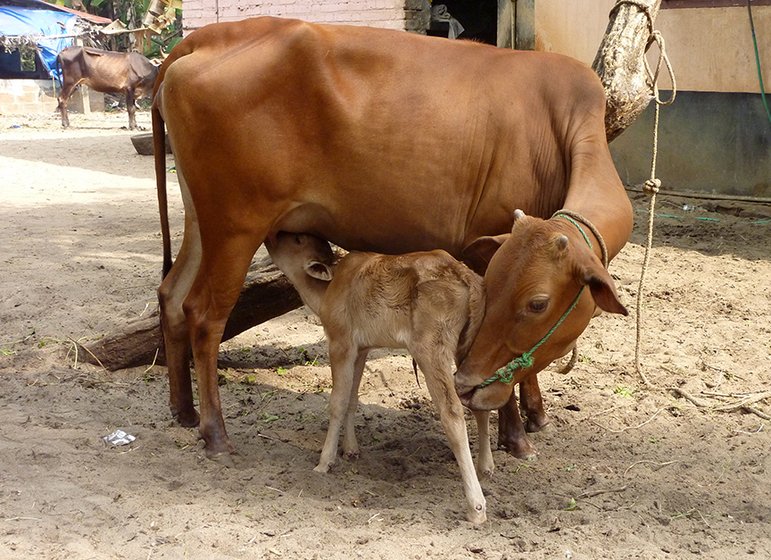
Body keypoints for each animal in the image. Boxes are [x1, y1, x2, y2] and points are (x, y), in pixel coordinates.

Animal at [152, 17, 632, 463]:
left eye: (536, 304)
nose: (467, 387)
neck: (561, 125)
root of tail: (203, 39)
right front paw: (514, 433)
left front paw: (535, 414)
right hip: (236, 226)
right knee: (204, 315)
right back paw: (215, 432)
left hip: (202, 219)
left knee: (171, 295)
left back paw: (183, 411)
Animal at [265, 231, 493, 523]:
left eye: (296, 239)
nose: (272, 235)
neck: (328, 290)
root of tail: (463, 274)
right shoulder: (362, 348)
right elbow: (352, 398)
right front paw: (351, 449)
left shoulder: (340, 343)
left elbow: (337, 402)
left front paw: (324, 462)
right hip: (469, 345)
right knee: (480, 402)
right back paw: (486, 466)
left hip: (431, 349)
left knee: (452, 412)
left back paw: (475, 506)